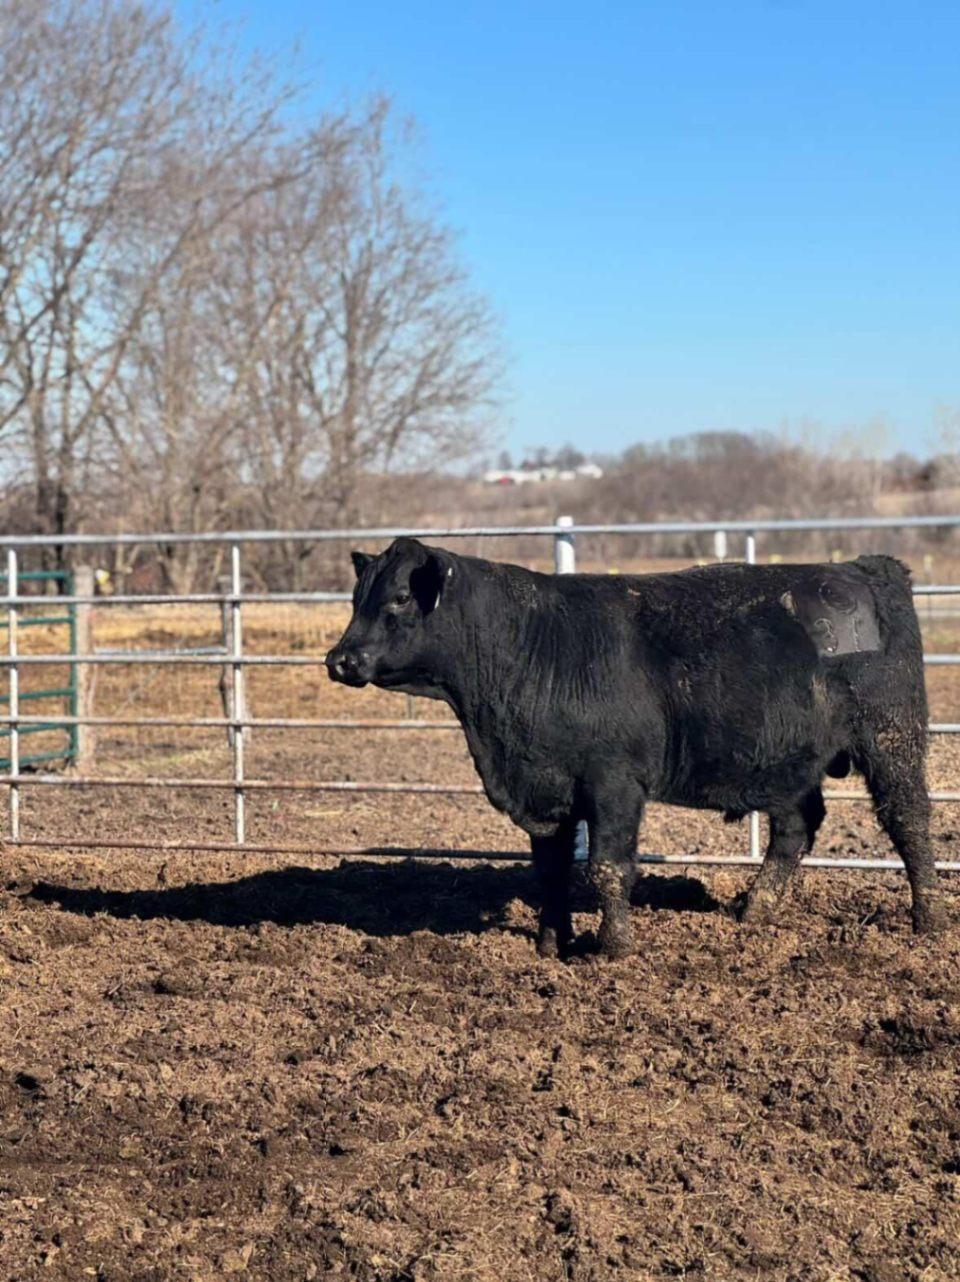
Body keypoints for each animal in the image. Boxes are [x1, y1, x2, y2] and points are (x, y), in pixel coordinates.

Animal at [325, 538, 947, 959]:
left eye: (400, 597)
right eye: (356, 598)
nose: (340, 659)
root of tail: (864, 566)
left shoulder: (614, 782)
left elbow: (607, 866)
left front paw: (614, 949)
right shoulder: (545, 789)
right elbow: (551, 869)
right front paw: (551, 946)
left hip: (891, 738)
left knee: (909, 821)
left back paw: (929, 921)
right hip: (788, 760)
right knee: (797, 826)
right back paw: (753, 911)